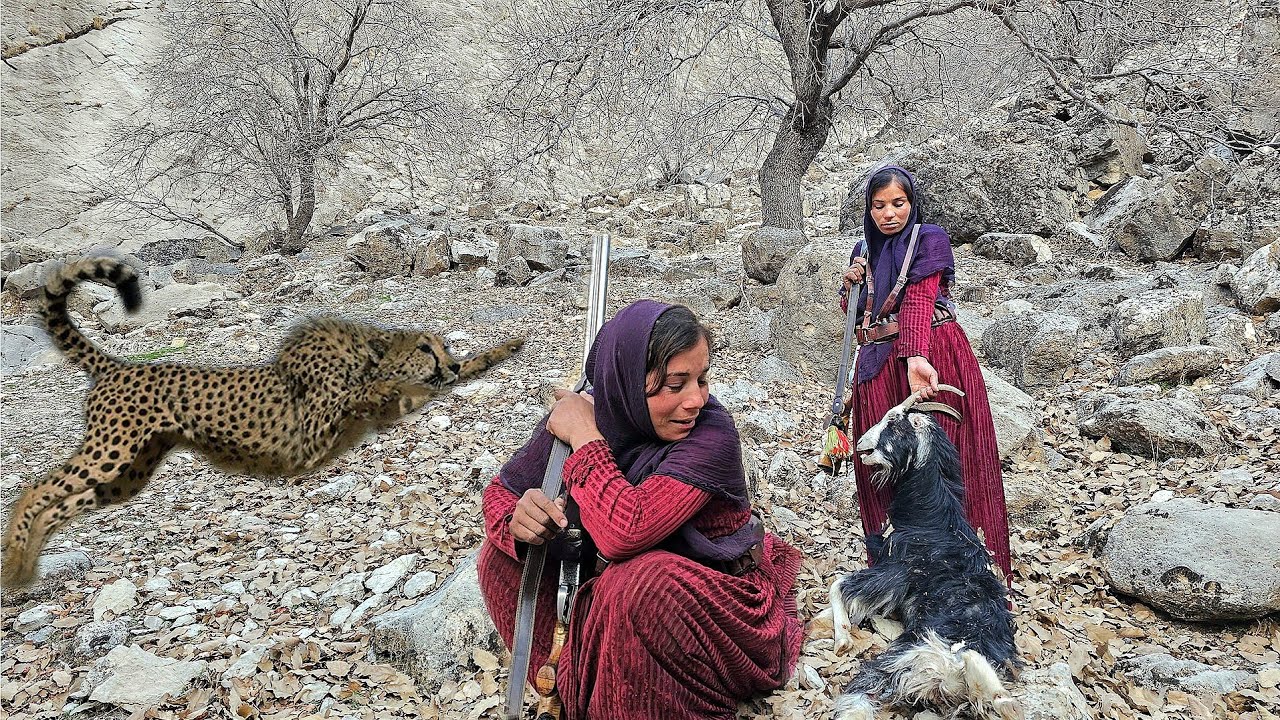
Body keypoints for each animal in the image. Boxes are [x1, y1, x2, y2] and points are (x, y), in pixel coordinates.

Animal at [828, 386, 1021, 720]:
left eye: (894, 420)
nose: (862, 444)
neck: (932, 515)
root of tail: (951, 673)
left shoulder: (896, 571)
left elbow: (838, 584)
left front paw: (841, 636)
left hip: (903, 657)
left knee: (861, 692)